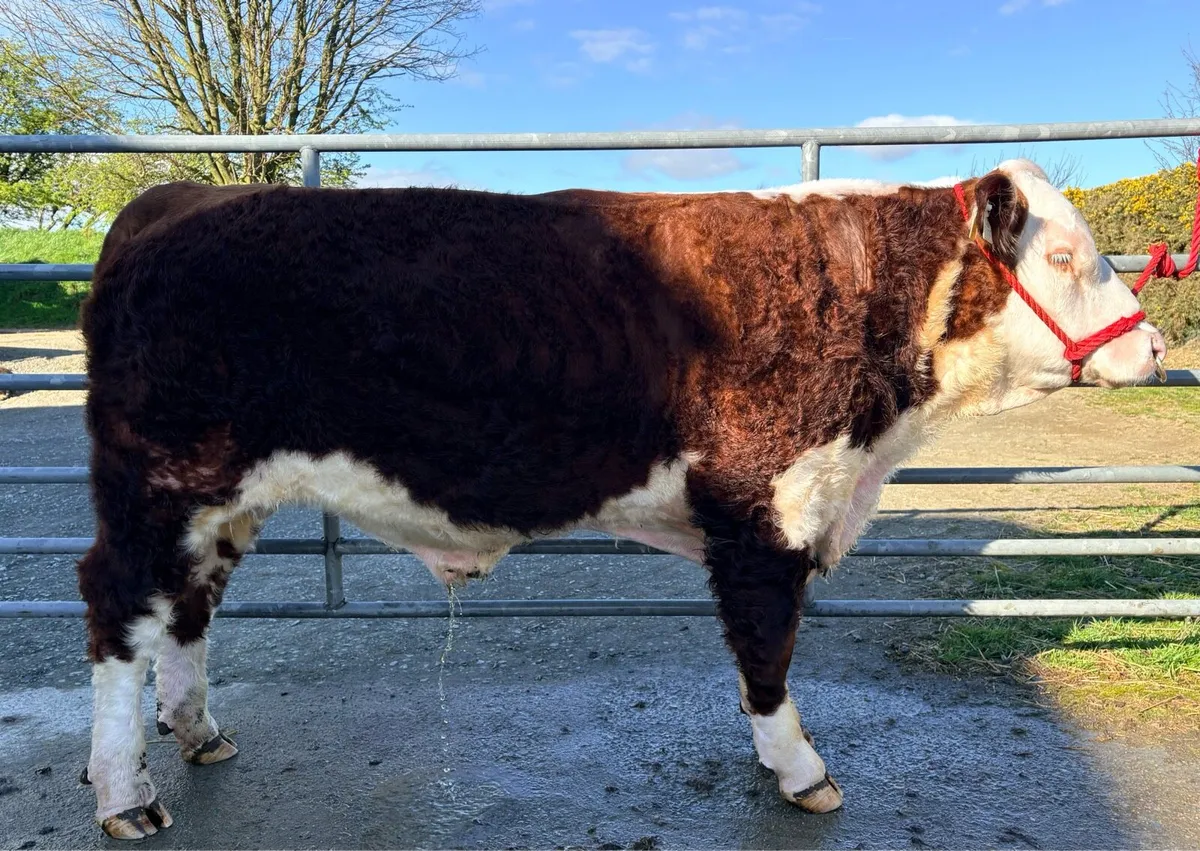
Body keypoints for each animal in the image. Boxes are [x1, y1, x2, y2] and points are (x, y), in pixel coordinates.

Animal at [75, 159, 1165, 838]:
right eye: (1063, 258)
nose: (1155, 346)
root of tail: (172, 199)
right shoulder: (766, 508)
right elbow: (767, 648)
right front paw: (800, 770)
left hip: (220, 502)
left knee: (189, 609)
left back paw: (198, 730)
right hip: (157, 484)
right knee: (118, 611)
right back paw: (126, 793)